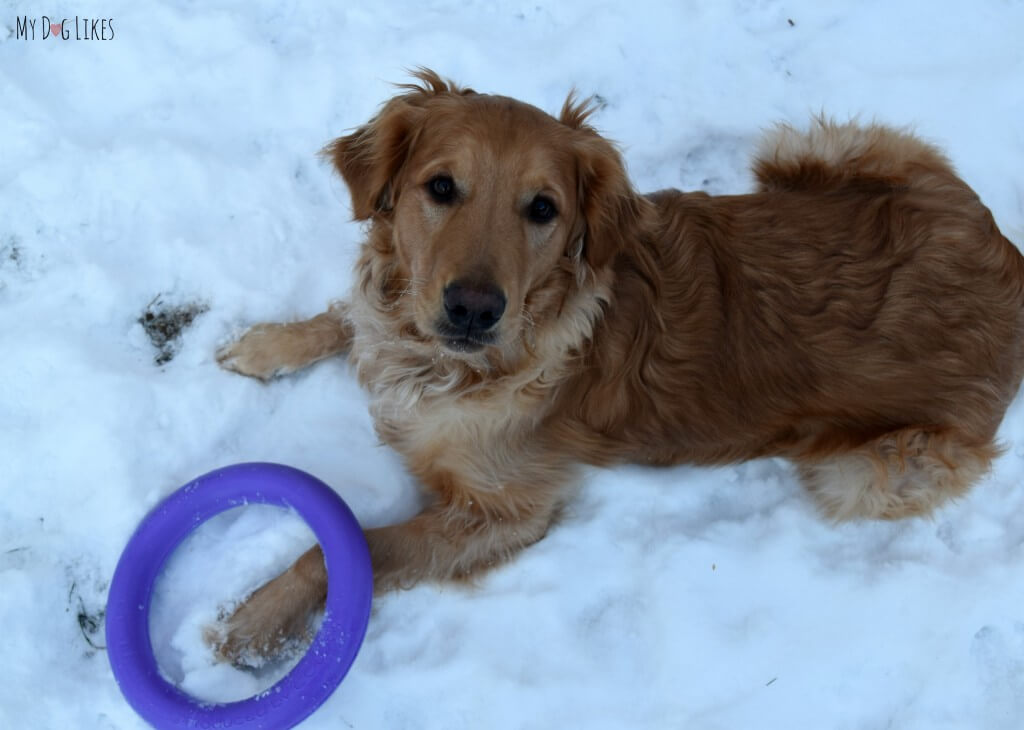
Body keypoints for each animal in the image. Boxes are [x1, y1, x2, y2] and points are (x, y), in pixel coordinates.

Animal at [209, 68, 1024, 659]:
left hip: (864, 471)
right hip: (824, 151)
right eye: (440, 187)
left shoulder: (502, 513)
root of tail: (1008, 259)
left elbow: (338, 552)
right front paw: (267, 344)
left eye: (543, 209)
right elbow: (350, 316)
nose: (473, 309)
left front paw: (251, 621)